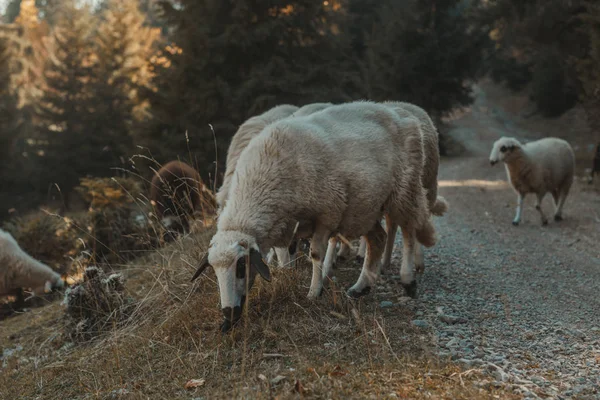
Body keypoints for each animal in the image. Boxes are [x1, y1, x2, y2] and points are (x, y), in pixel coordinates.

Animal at [192, 101, 436, 332]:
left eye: (242, 266)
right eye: (214, 271)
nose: (229, 314)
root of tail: (401, 113)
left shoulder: (327, 213)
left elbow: (317, 254)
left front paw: (314, 291)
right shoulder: (291, 225)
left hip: (405, 190)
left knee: (409, 231)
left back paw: (408, 279)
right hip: (365, 208)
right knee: (378, 239)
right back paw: (361, 287)